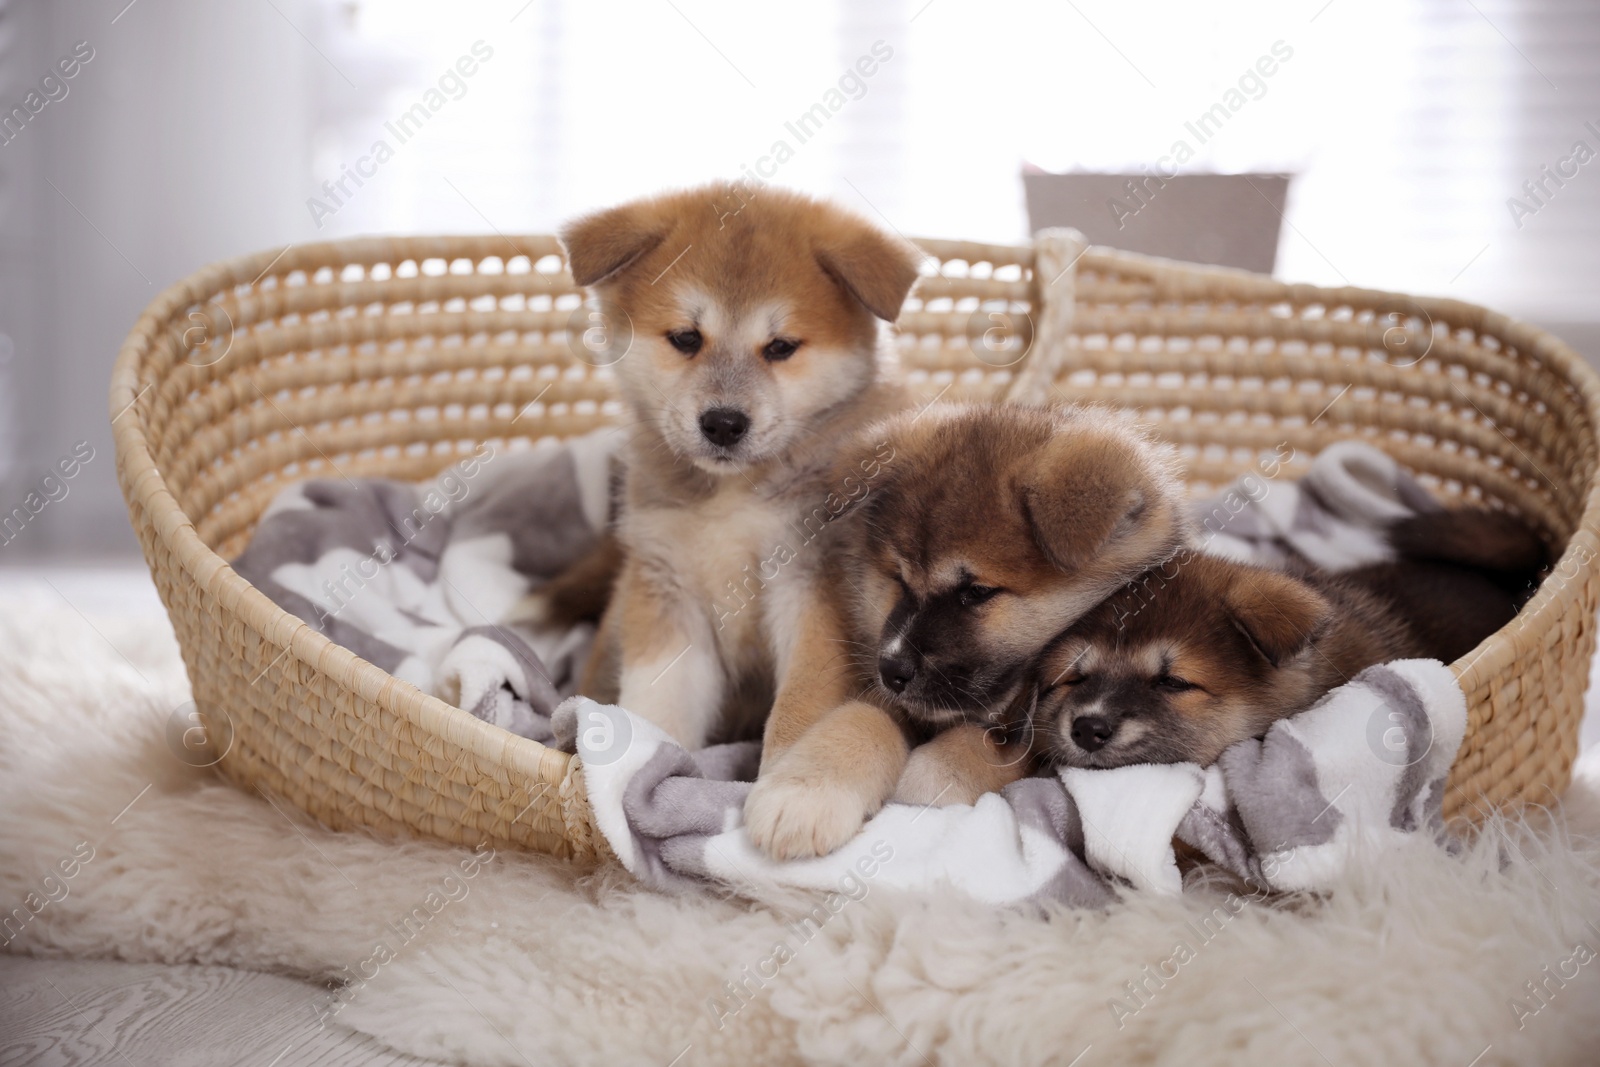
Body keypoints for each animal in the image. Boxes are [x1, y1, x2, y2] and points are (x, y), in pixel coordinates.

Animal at [553, 183, 921, 751]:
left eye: (781, 347)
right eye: (686, 338)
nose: (724, 423)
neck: (735, 497)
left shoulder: (810, 588)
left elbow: (797, 713)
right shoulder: (668, 590)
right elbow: (658, 708)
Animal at [739, 399, 1190, 857]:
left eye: (975, 592)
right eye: (899, 580)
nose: (892, 671)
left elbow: (978, 752)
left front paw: (931, 773)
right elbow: (862, 716)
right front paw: (805, 792)